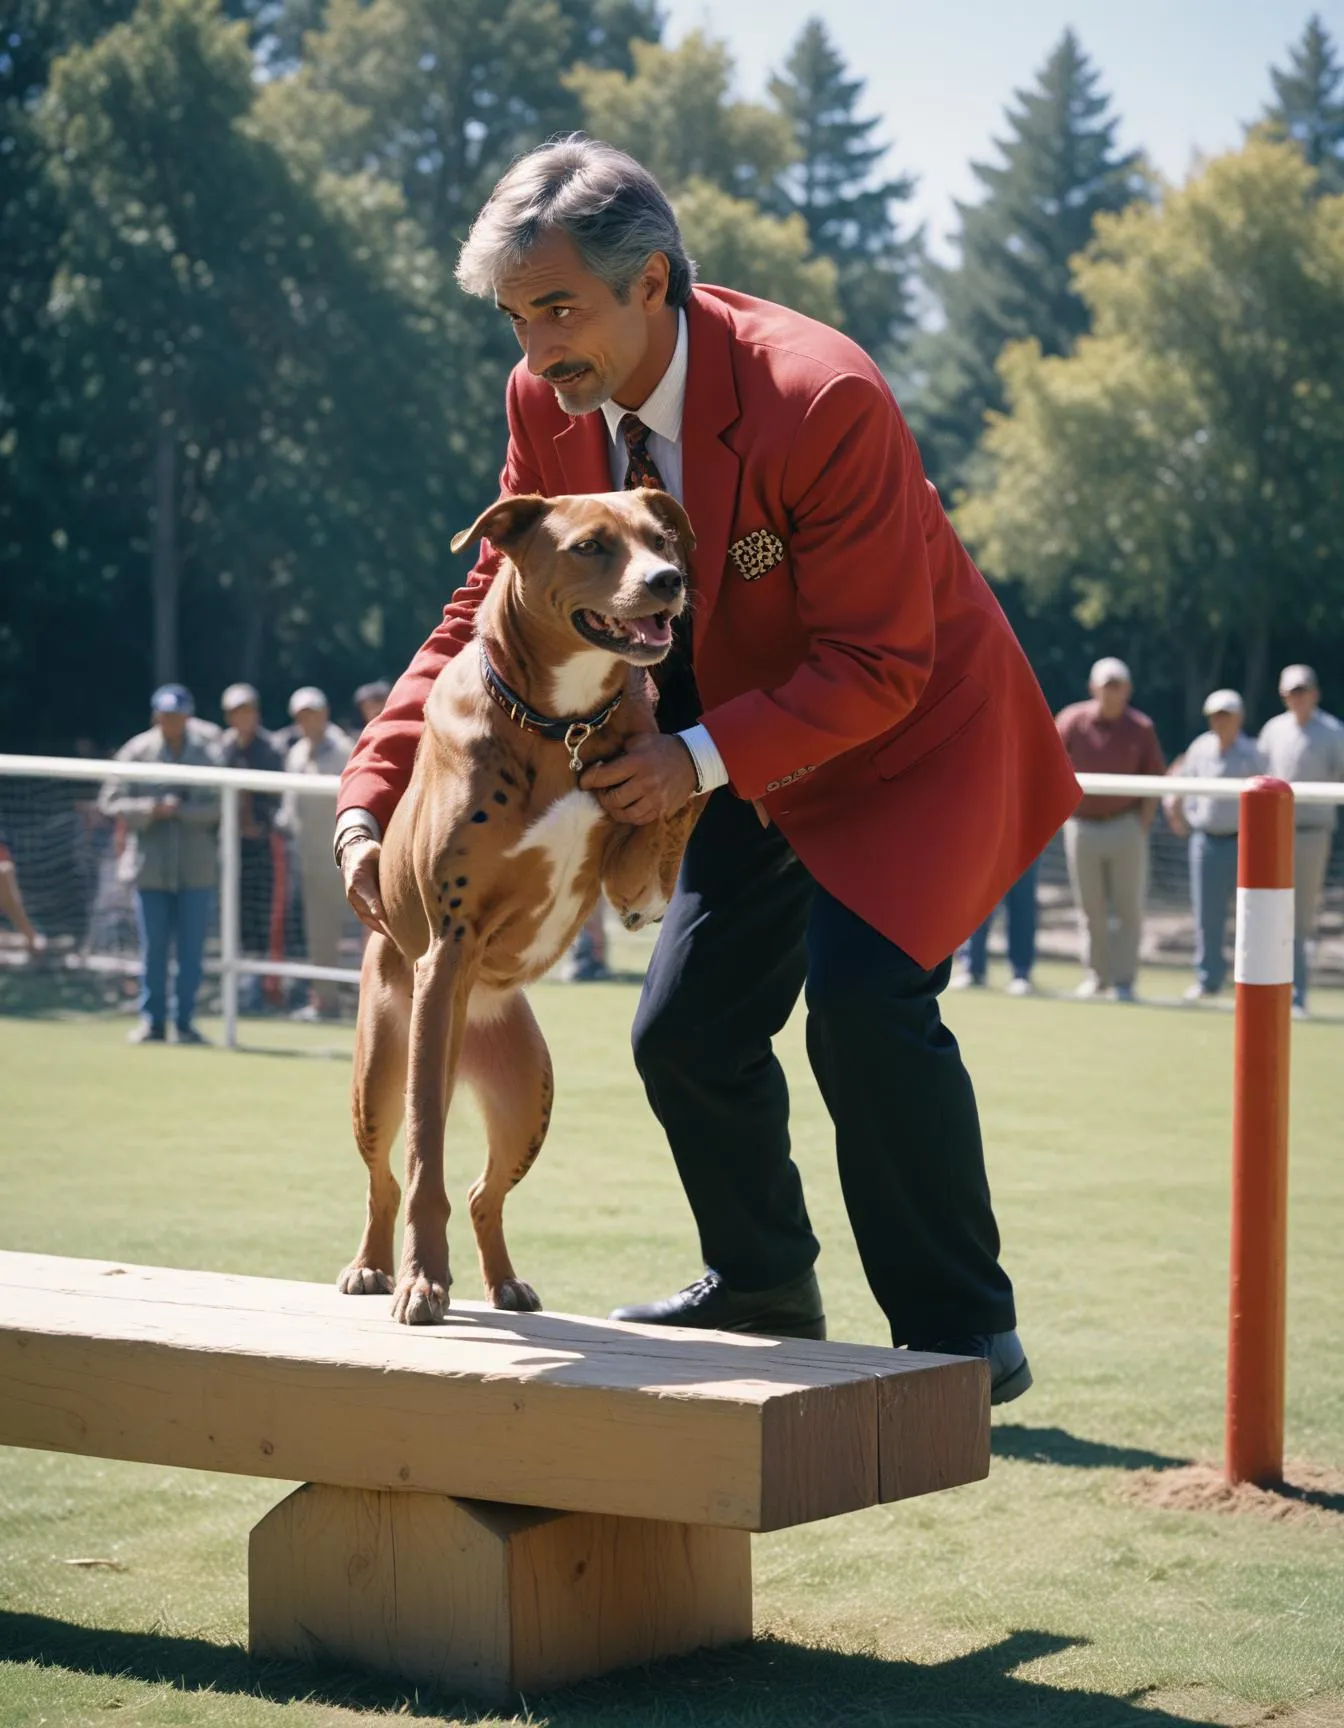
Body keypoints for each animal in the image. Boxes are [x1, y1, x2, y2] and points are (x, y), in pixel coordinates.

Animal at [338, 494, 701, 1327]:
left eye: (660, 539)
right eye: (591, 546)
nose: (668, 581)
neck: (557, 723)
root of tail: (475, 1025)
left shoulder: (637, 891)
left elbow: (673, 803)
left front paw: (688, 753)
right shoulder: (448, 946)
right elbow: (423, 1166)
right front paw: (421, 1281)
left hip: (527, 1095)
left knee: (482, 1193)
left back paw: (505, 1282)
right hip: (385, 1070)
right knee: (391, 1176)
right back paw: (373, 1267)